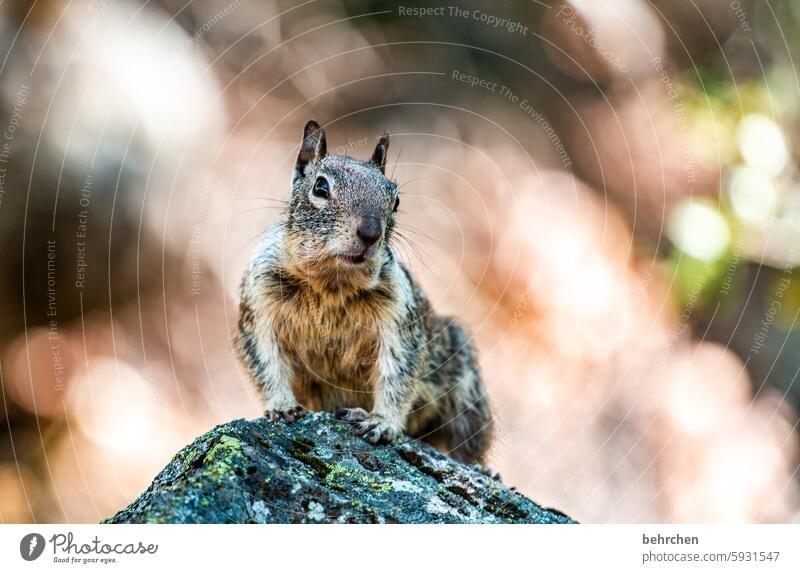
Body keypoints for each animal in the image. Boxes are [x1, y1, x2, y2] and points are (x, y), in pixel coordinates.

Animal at [234, 120, 490, 464]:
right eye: (320, 187)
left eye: (396, 201)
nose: (370, 232)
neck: (331, 284)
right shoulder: (259, 303)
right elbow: (265, 359)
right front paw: (281, 405)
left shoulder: (399, 317)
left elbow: (398, 371)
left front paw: (381, 422)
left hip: (465, 389)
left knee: (464, 443)